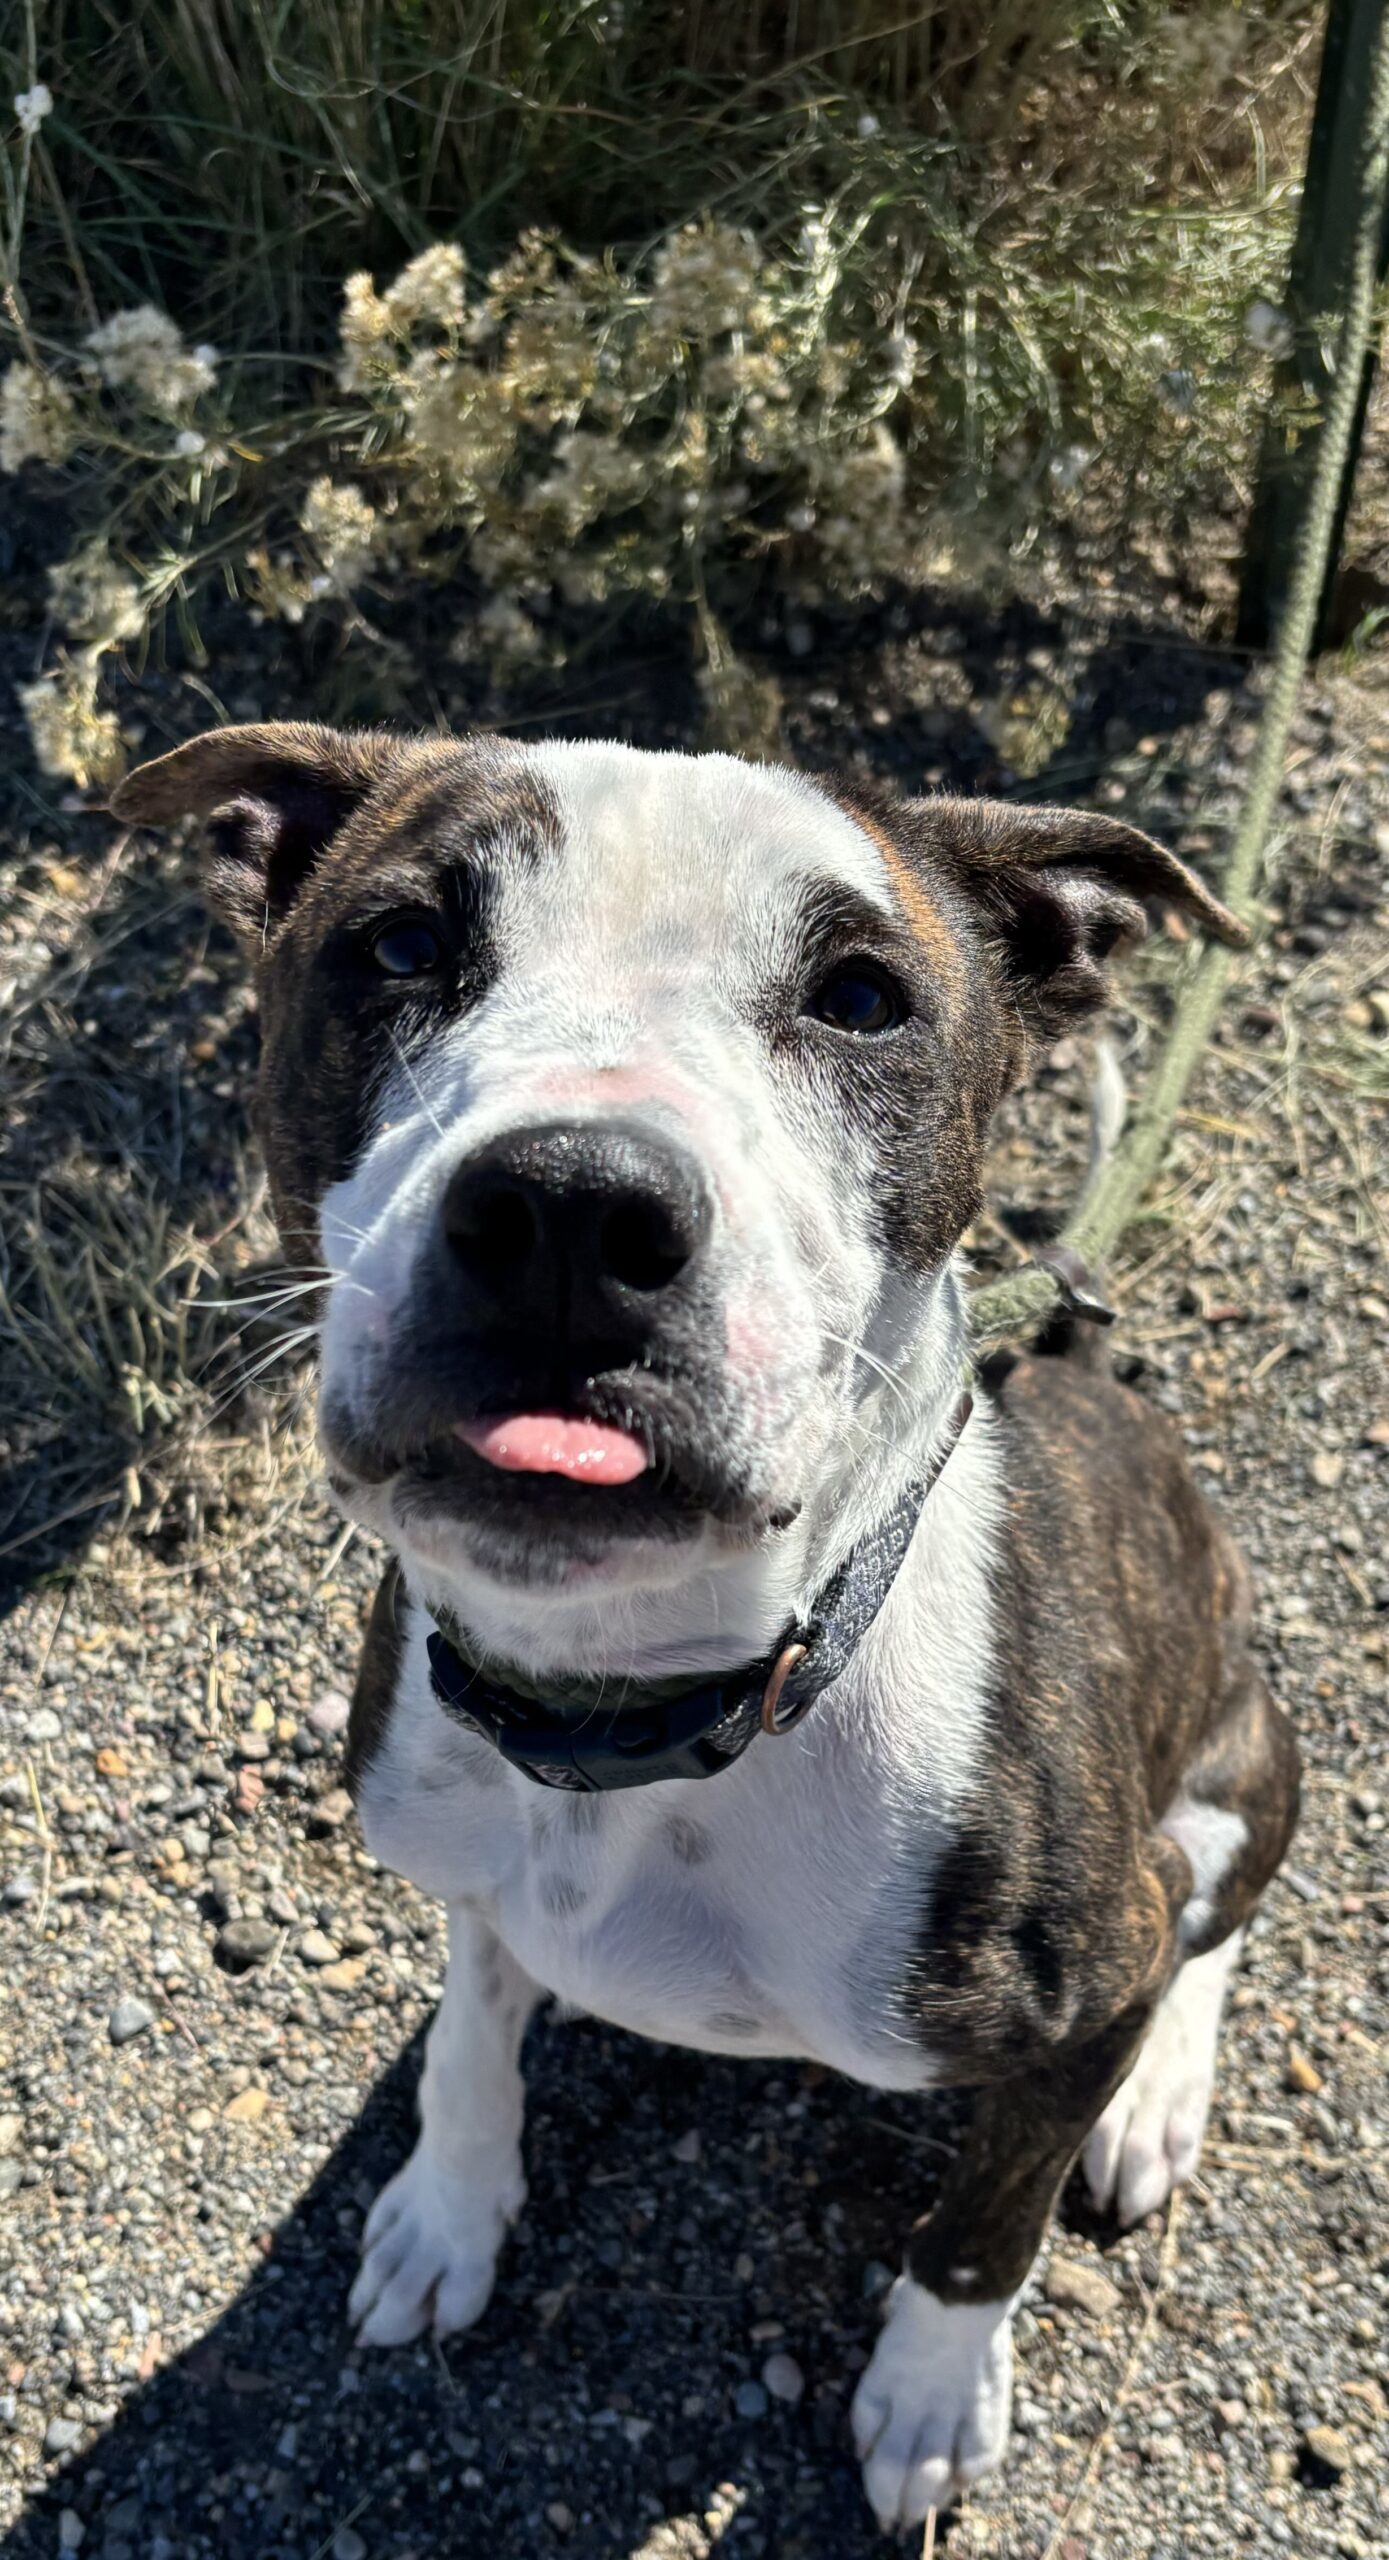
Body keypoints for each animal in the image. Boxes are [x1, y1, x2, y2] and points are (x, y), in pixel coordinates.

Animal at [113, 727, 1299, 2539]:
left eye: (862, 997)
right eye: (399, 943)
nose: (568, 1211)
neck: (649, 1709)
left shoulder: (1086, 1974)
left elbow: (983, 2228)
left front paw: (927, 2395)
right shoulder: (466, 1863)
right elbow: (470, 2026)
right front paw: (447, 2203)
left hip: (1241, 1760)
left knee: (1213, 1925)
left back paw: (1153, 2102)